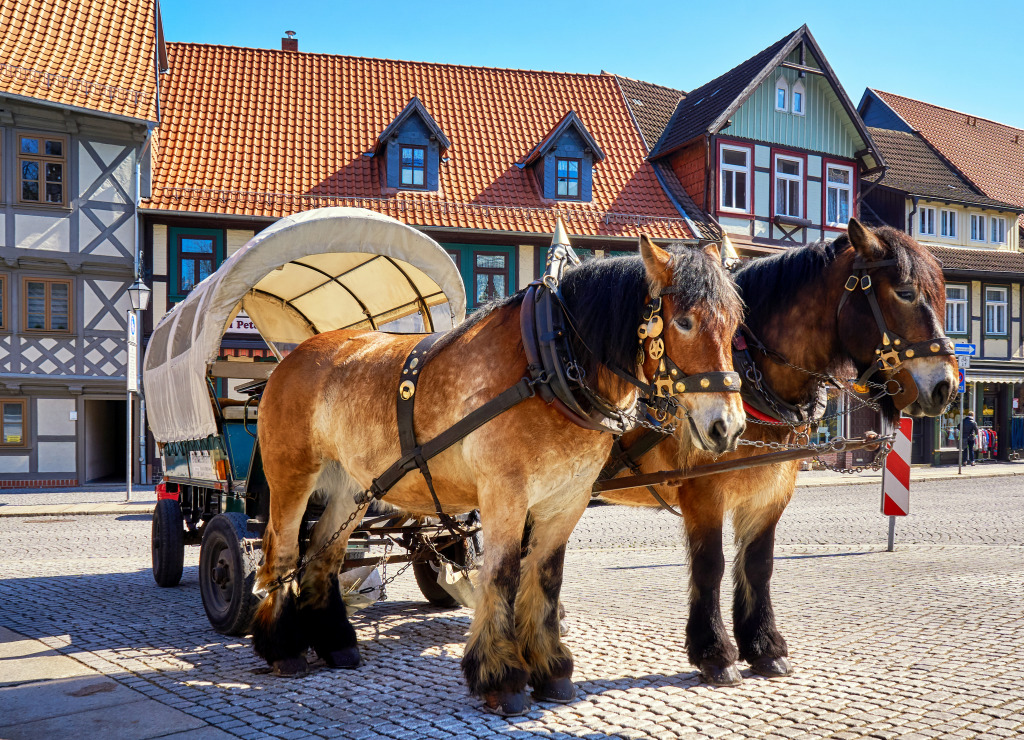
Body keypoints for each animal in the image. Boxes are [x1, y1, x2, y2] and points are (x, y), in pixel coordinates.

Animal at [247, 234, 745, 716]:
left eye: (734, 328)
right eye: (684, 321)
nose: (729, 426)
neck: (548, 362)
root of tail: (292, 357)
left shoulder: (567, 500)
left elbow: (544, 577)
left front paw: (551, 668)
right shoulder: (505, 494)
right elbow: (503, 576)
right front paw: (501, 676)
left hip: (356, 488)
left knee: (324, 554)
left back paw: (337, 644)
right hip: (292, 476)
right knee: (284, 554)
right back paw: (283, 649)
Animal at [598, 221, 958, 687]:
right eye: (905, 292)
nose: (946, 386)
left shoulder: (771, 491)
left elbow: (758, 564)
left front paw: (764, 646)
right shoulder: (703, 495)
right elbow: (710, 566)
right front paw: (714, 652)